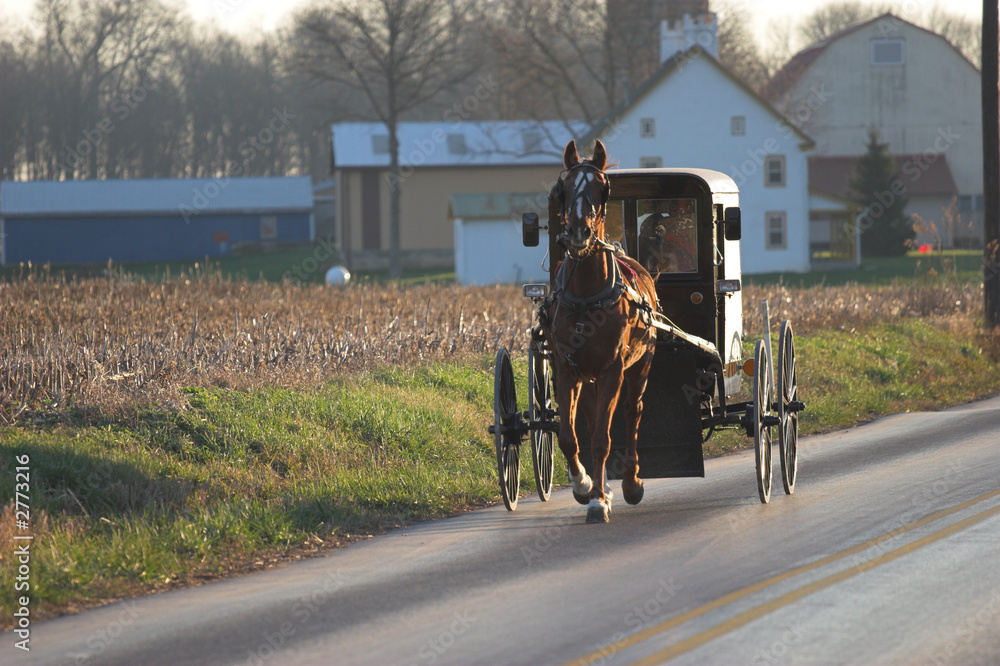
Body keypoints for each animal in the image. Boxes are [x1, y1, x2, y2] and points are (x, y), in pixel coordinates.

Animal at [544, 139, 659, 523]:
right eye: (564, 189)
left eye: (601, 188)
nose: (579, 233)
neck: (585, 296)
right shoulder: (567, 368)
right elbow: (569, 436)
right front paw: (584, 486)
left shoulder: (612, 369)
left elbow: (601, 440)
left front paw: (598, 500)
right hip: (587, 374)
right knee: (591, 416)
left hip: (640, 365)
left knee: (633, 411)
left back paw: (629, 483)